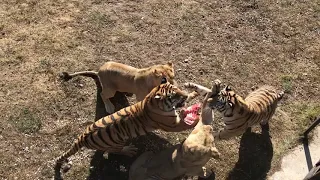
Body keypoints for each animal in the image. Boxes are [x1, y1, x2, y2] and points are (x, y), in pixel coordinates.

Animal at [54, 82, 200, 174]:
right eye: (172, 96)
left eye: (177, 89)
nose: (183, 96)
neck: (151, 100)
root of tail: (83, 137)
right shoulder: (172, 125)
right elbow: (188, 123)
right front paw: (199, 118)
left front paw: (193, 92)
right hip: (117, 143)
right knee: (115, 151)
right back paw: (129, 150)